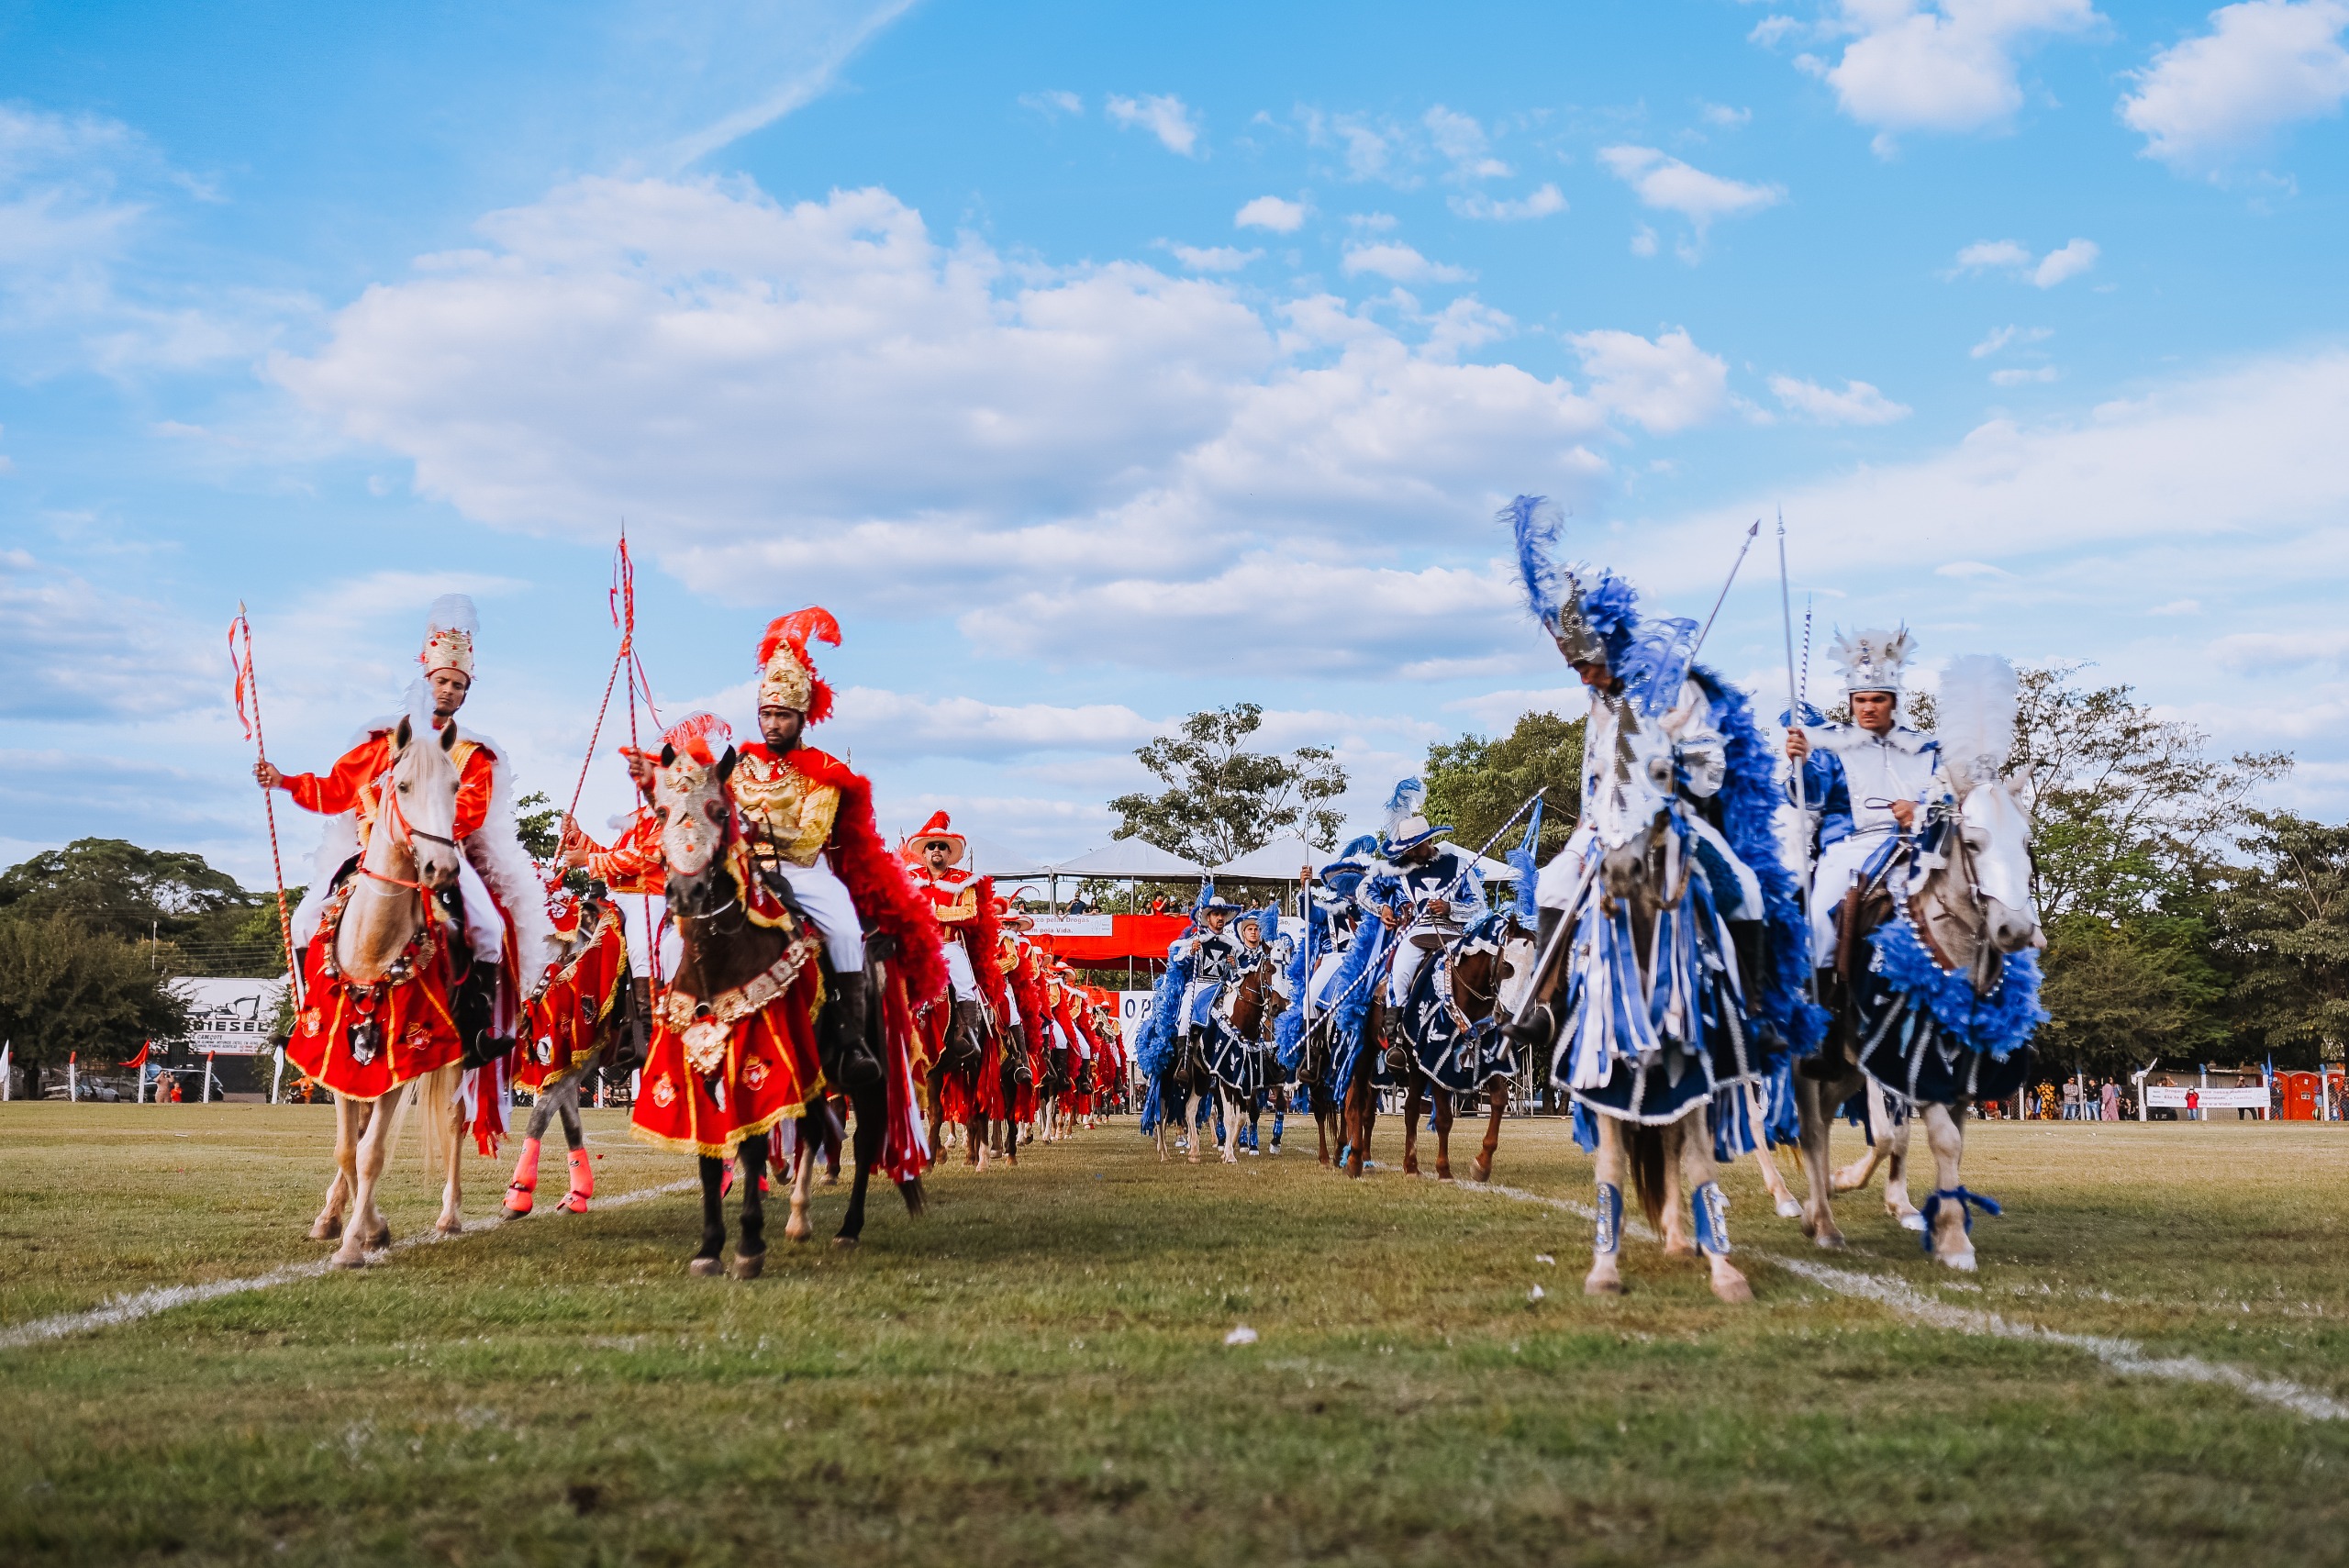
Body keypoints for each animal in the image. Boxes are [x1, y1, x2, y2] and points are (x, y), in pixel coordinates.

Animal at [309, 717, 479, 1267]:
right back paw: (330, 1214)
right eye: (401, 786)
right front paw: (365, 1227)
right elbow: (349, 1148)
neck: (371, 948)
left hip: (458, 1053)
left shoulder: (401, 1062)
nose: (442, 869)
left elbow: (372, 1153)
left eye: (455, 787)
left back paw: (449, 1215)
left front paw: (358, 1242)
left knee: (454, 1120)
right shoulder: (336, 1058)